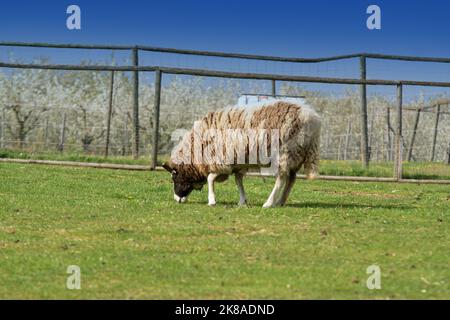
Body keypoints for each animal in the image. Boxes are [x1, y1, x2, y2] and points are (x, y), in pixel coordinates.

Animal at [163, 100, 322, 208]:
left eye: (175, 178)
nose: (177, 199)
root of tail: (311, 118)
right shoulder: (237, 163)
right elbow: (238, 181)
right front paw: (242, 201)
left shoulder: (222, 161)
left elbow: (210, 178)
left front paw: (212, 200)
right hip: (296, 155)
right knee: (291, 179)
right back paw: (281, 201)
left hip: (284, 153)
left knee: (281, 179)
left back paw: (269, 203)